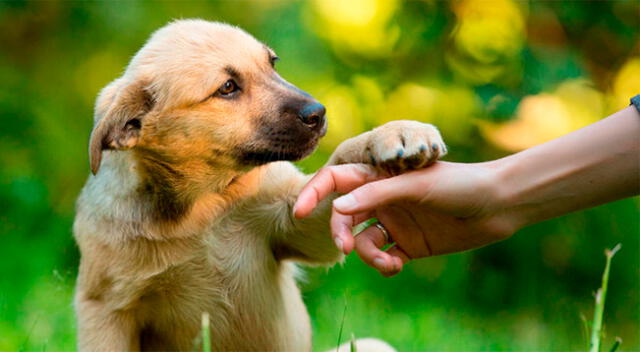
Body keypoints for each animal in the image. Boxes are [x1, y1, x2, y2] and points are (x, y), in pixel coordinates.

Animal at [74, 20, 444, 352]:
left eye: (272, 63)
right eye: (227, 87)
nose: (319, 112)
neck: (203, 206)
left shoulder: (297, 220)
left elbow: (340, 160)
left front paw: (396, 133)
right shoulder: (105, 308)